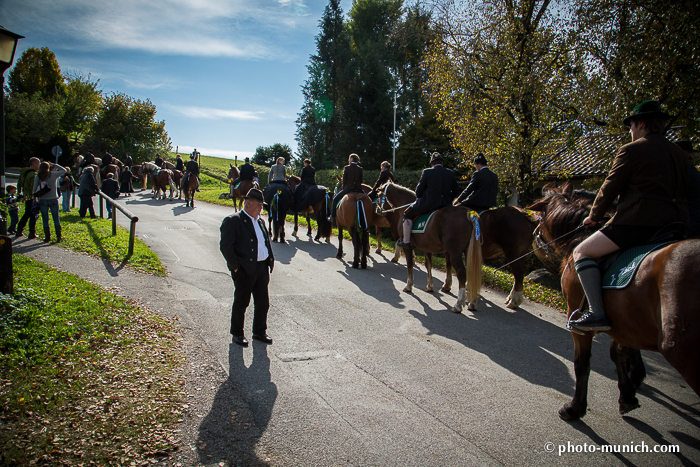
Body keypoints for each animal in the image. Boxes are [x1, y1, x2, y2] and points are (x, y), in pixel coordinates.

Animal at [532, 182, 700, 420]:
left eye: (541, 214)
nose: (535, 235)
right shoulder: (624, 321)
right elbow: (617, 353)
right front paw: (628, 393)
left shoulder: (579, 319)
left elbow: (582, 363)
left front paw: (574, 408)